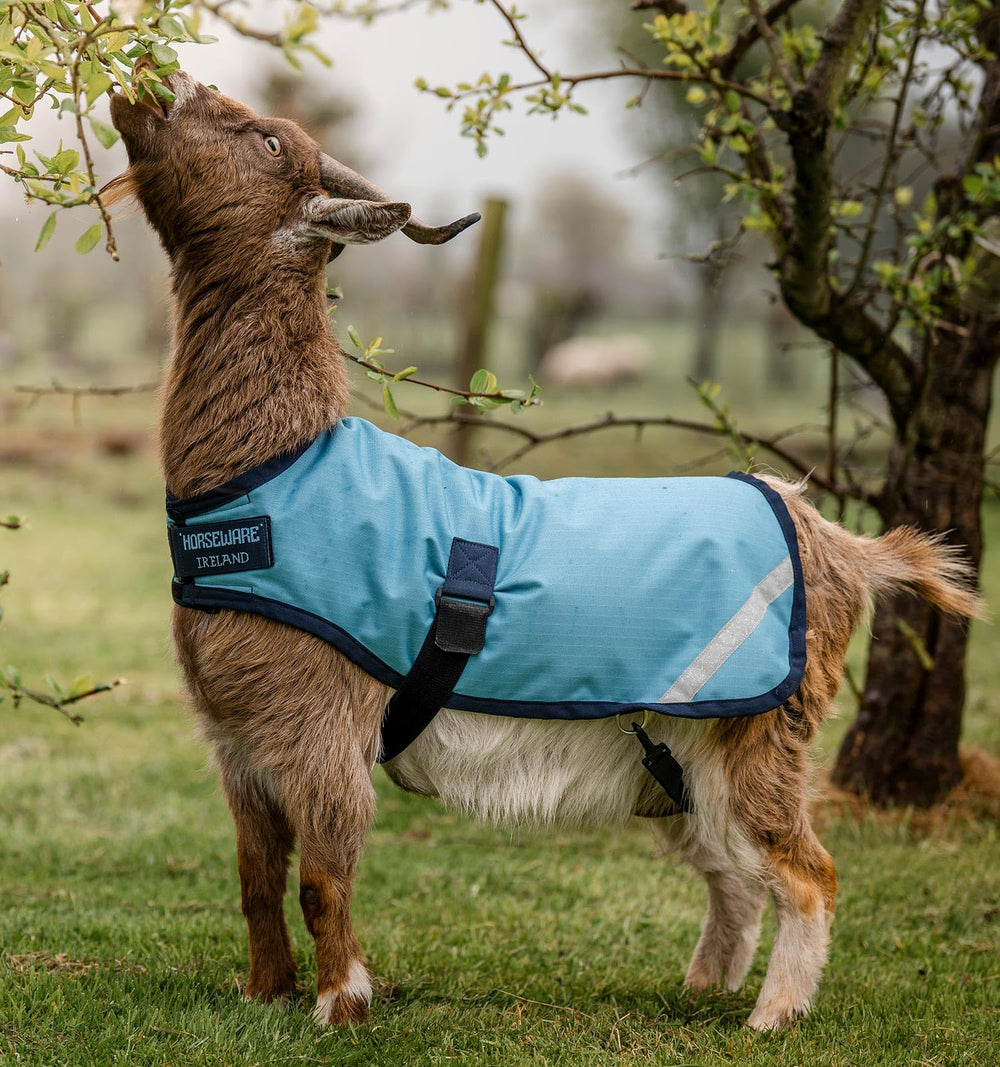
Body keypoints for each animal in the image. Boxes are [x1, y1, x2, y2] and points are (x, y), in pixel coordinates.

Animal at [105, 71, 981, 1032]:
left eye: (266, 139)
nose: (158, 81)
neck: (276, 470)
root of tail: (840, 544)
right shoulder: (238, 739)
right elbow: (256, 877)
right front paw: (266, 991)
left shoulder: (320, 724)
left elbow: (323, 878)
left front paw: (340, 1003)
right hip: (679, 758)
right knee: (736, 873)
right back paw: (705, 984)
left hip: (760, 732)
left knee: (805, 871)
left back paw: (772, 1015)